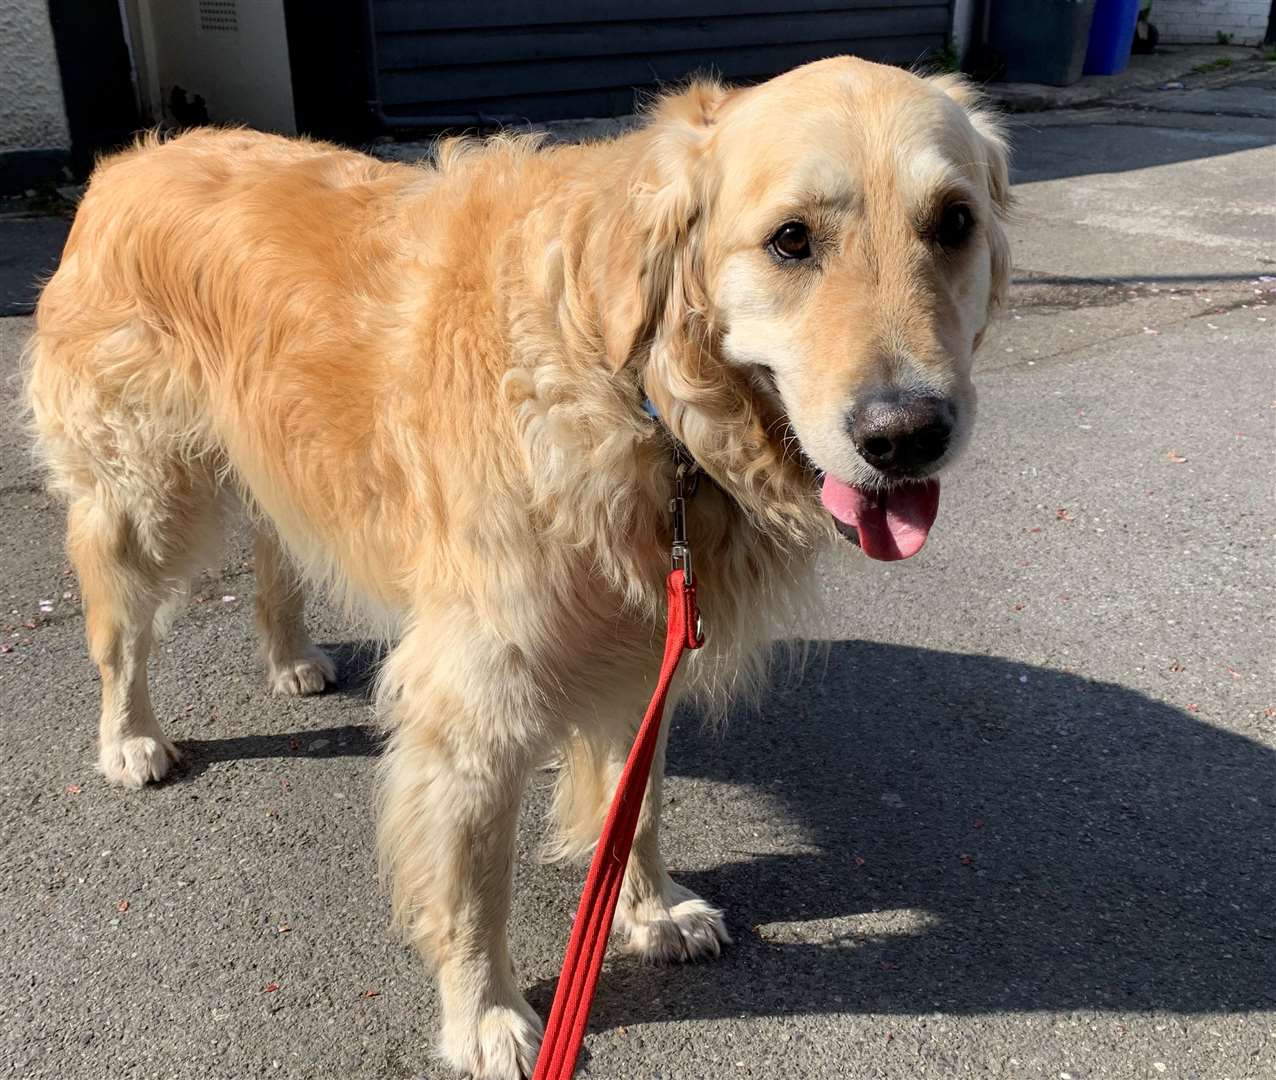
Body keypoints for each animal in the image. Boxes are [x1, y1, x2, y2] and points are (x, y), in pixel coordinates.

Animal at [22, 59, 1005, 1080]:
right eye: (790, 241)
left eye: (954, 223)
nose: (907, 436)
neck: (638, 393)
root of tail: (129, 162)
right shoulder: (476, 700)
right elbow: (471, 889)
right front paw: (485, 1016)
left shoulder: (643, 645)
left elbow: (635, 806)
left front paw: (648, 910)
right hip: (144, 497)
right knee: (119, 634)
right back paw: (131, 737)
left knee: (274, 552)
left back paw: (289, 657)